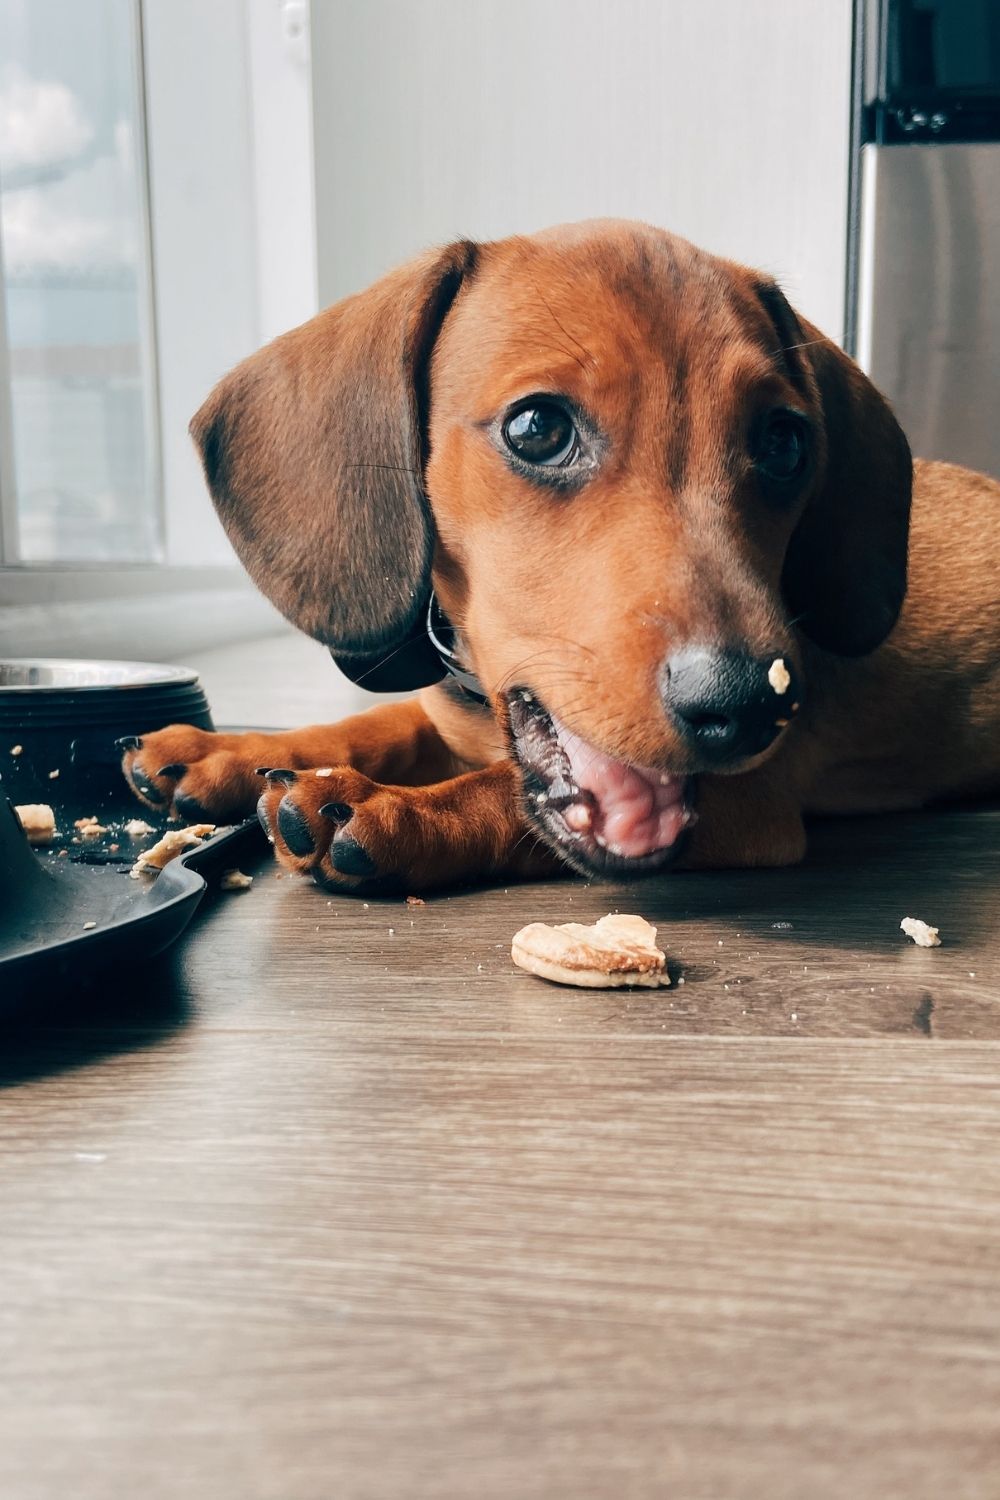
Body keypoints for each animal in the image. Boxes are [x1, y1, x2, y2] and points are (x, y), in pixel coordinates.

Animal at [121, 214, 1000, 888]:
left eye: (785, 444)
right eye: (538, 428)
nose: (753, 704)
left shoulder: (756, 801)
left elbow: (498, 794)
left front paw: (392, 808)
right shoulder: (443, 709)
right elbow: (374, 724)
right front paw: (223, 752)